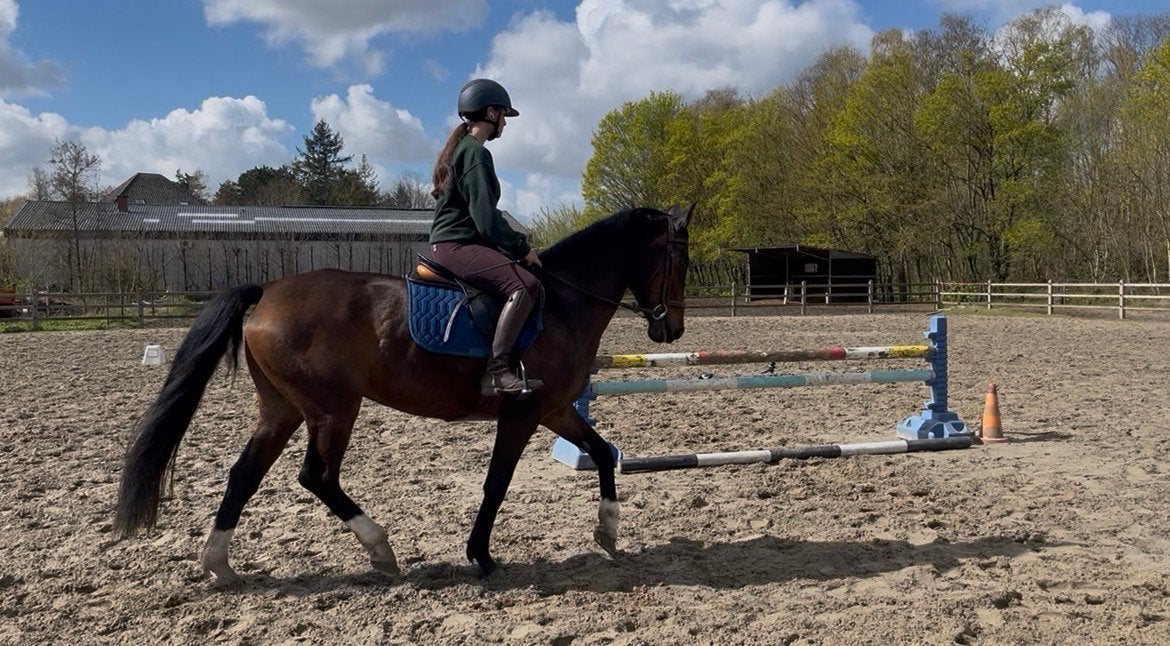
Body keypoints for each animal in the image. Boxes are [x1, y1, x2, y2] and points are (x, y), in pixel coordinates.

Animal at [114, 205, 692, 583]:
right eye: (679, 261)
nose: (672, 331)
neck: (563, 303)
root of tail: (266, 294)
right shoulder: (523, 414)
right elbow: (497, 484)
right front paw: (481, 556)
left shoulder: (553, 409)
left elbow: (601, 454)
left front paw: (609, 532)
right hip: (332, 409)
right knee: (317, 477)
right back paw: (381, 550)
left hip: (283, 410)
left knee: (244, 475)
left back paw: (219, 564)